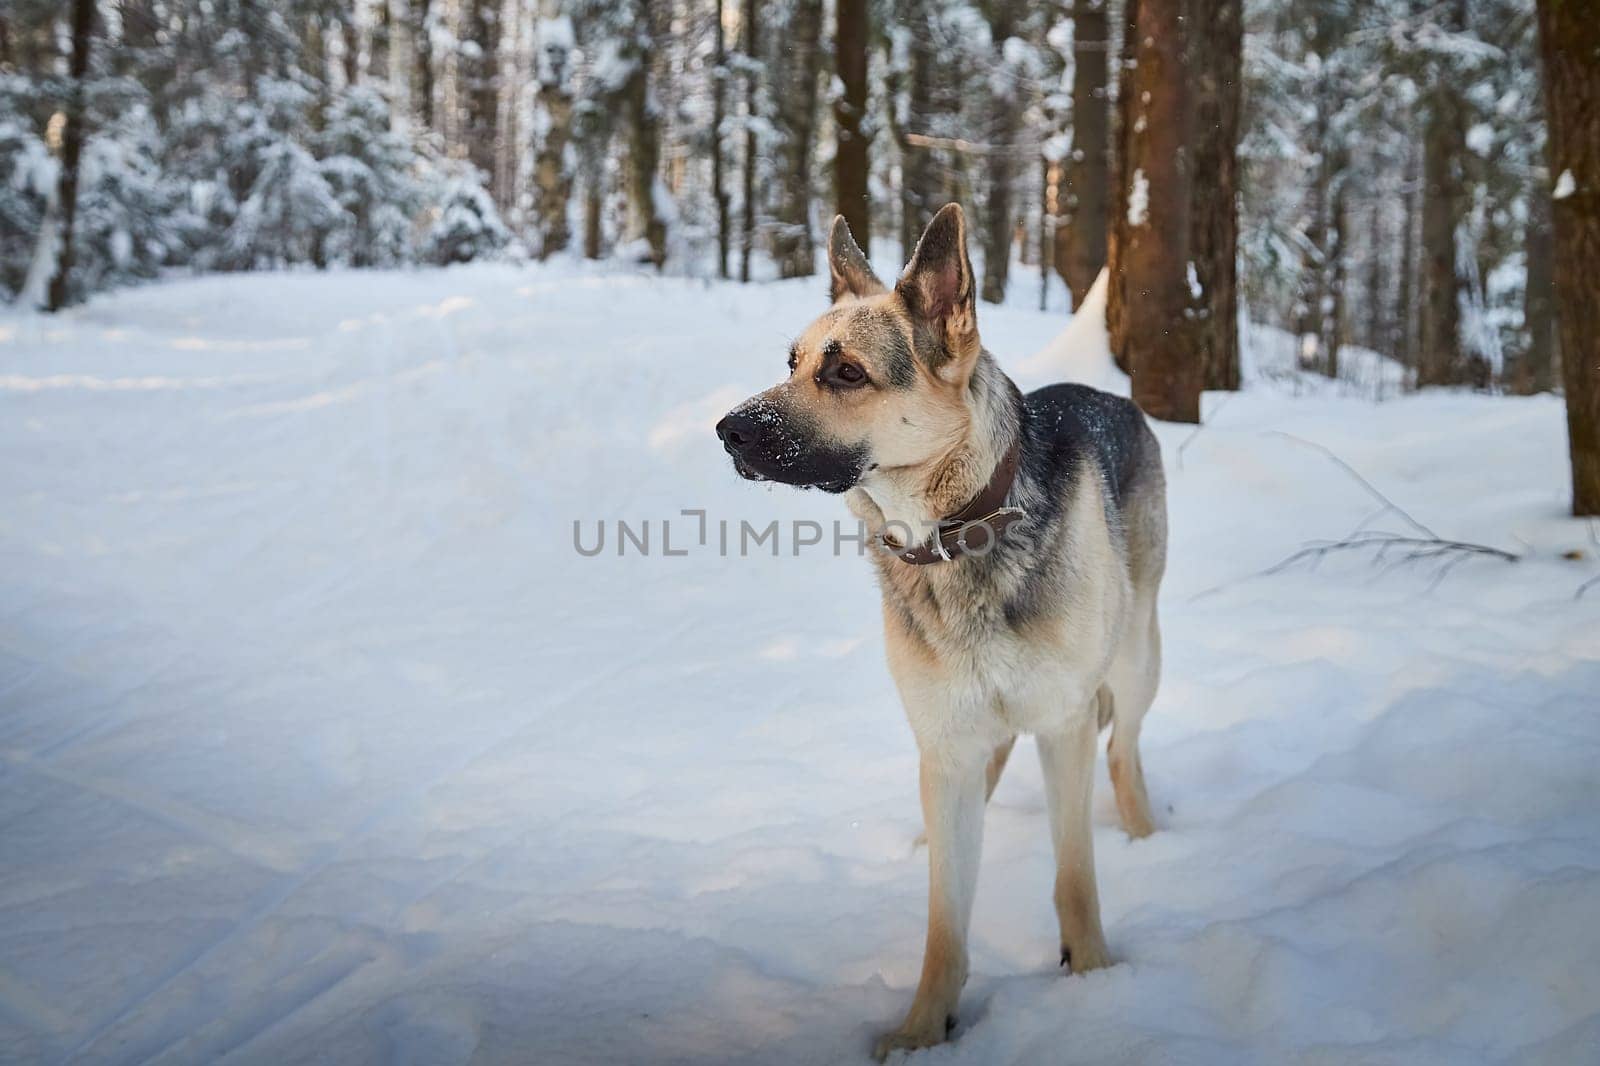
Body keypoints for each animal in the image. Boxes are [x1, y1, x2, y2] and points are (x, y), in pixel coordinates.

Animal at [723, 203, 1164, 1049]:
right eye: (791, 362)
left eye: (846, 373)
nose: (728, 429)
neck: (956, 536)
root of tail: (1113, 395)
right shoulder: (947, 743)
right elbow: (945, 919)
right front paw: (924, 1029)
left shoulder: (1062, 727)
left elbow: (1074, 879)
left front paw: (1093, 980)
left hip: (1134, 660)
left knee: (1123, 751)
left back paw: (1149, 841)